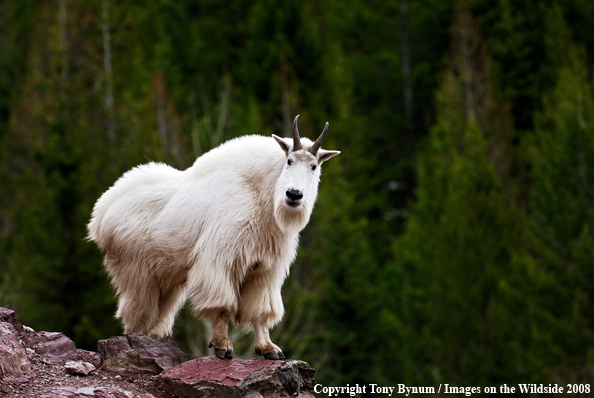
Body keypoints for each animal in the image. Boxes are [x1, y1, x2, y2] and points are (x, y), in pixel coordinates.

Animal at [86, 115, 338, 360]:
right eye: (289, 161)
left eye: (314, 166)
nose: (294, 194)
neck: (261, 195)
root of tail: (102, 212)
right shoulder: (221, 258)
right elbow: (222, 306)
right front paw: (222, 346)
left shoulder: (265, 269)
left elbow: (261, 311)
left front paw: (269, 349)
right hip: (137, 271)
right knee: (137, 315)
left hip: (165, 278)